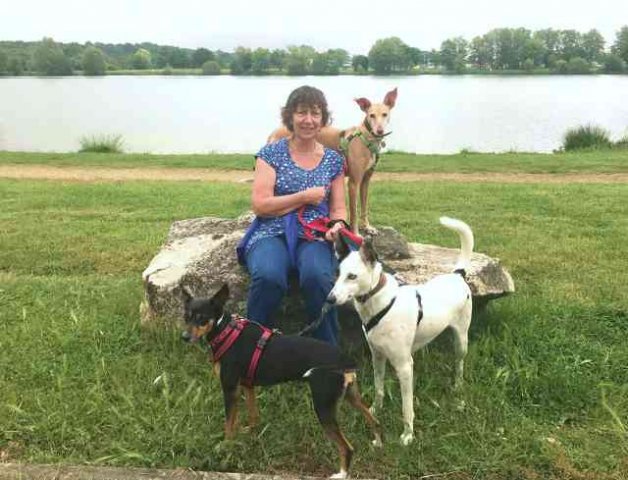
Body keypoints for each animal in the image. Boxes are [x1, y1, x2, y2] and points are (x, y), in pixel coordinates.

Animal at [179, 284, 380, 478]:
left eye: (202, 318)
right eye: (186, 317)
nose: (184, 337)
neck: (225, 330)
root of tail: (343, 359)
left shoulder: (230, 389)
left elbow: (228, 424)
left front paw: (226, 448)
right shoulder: (247, 385)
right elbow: (253, 415)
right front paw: (250, 433)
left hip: (323, 407)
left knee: (347, 447)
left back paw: (341, 474)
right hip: (350, 396)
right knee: (374, 420)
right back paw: (378, 443)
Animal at [266, 89, 398, 234]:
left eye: (385, 114)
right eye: (371, 115)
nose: (379, 131)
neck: (366, 138)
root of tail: (273, 133)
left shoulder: (365, 181)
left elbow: (364, 207)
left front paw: (367, 227)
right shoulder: (353, 183)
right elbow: (353, 212)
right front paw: (355, 233)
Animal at [326, 218, 474, 446]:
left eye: (352, 276)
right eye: (337, 274)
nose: (330, 299)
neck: (381, 304)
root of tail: (457, 275)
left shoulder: (405, 366)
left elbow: (407, 407)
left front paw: (407, 435)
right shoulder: (377, 356)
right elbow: (379, 388)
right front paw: (375, 410)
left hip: (461, 341)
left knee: (459, 363)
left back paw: (458, 386)